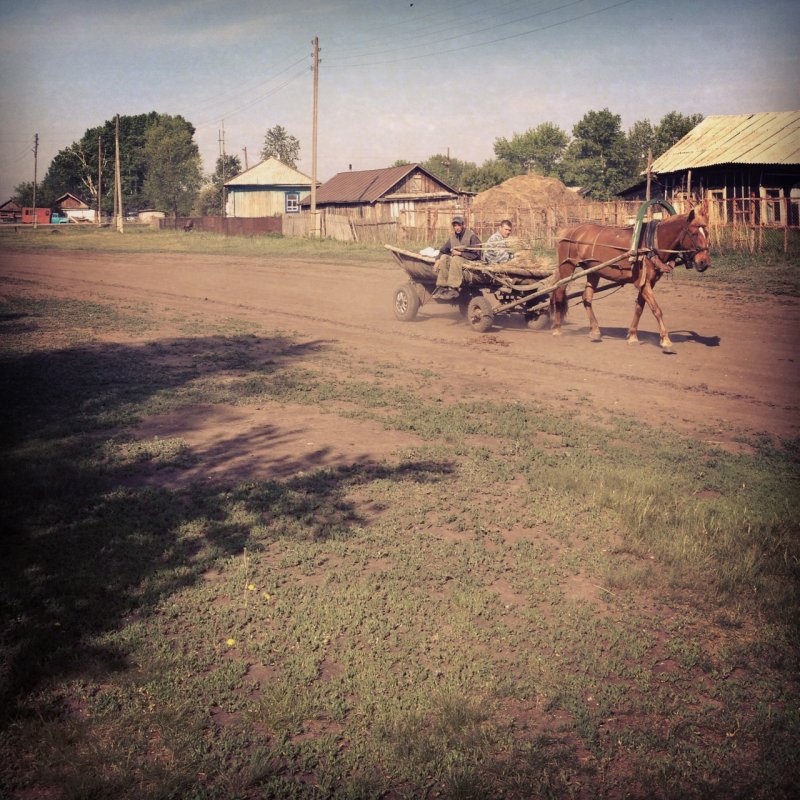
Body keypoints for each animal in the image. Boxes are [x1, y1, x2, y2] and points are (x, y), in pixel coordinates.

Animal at [552, 200, 712, 350]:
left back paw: (595, 331)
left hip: (593, 271)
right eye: (694, 234)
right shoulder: (643, 283)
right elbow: (656, 310)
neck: (650, 243)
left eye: (707, 233)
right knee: (559, 293)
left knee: (586, 297)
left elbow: (639, 308)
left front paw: (633, 336)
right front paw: (665, 340)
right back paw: (557, 329)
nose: (704, 262)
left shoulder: (647, 283)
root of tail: (567, 231)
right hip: (567, 267)